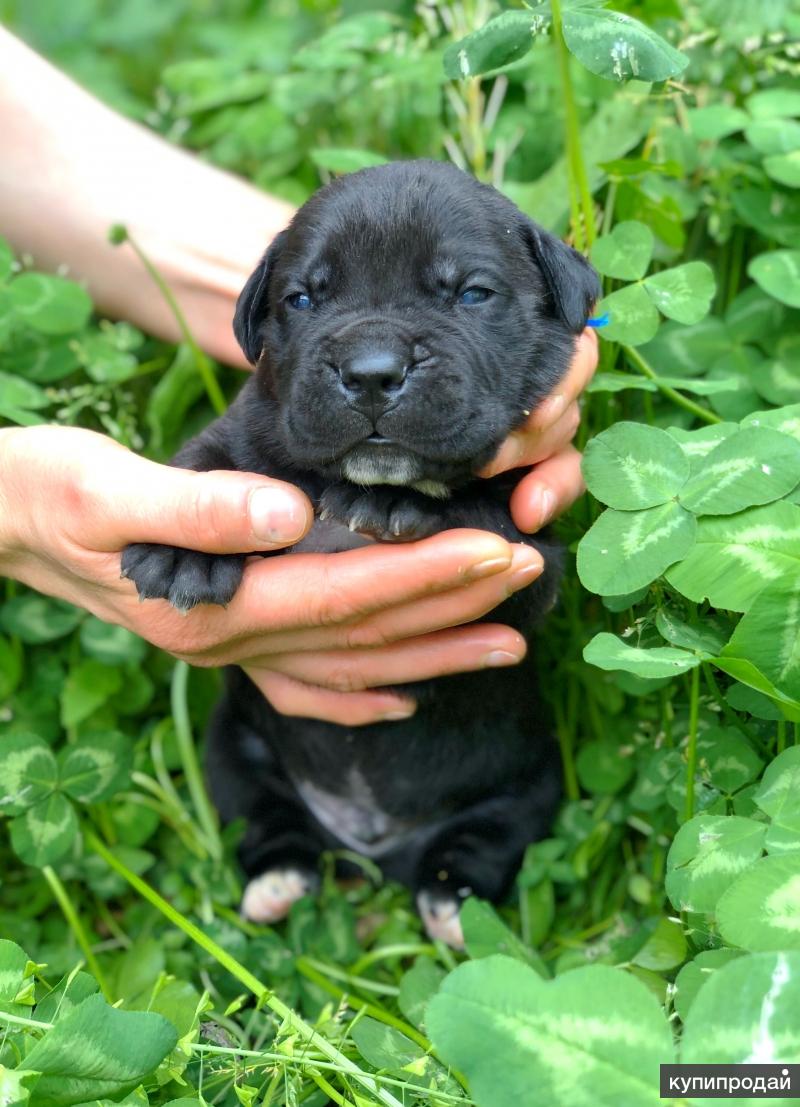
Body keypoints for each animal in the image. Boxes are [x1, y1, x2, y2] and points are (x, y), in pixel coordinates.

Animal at [122, 160, 597, 947]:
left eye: (472, 294)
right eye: (302, 299)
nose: (372, 370)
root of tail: (370, 847)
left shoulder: (535, 557)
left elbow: (483, 510)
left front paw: (405, 505)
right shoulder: (251, 426)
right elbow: (204, 467)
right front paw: (178, 550)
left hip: (527, 783)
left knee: (482, 841)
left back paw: (452, 905)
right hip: (233, 750)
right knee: (269, 820)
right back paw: (279, 880)